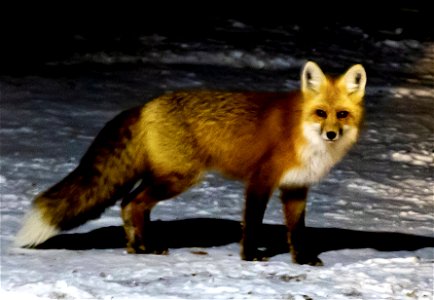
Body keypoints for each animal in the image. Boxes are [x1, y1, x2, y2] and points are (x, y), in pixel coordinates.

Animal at [14, 61, 366, 264]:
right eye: (320, 113)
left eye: (342, 114)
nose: (332, 134)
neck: (302, 132)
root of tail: (146, 105)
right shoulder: (260, 180)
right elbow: (252, 225)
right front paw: (250, 257)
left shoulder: (295, 188)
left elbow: (298, 231)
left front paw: (302, 260)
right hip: (180, 177)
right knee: (133, 203)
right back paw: (144, 247)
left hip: (166, 177)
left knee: (131, 204)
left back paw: (138, 247)